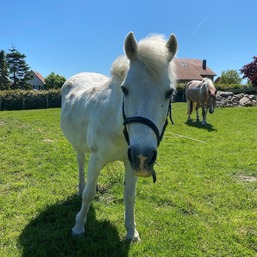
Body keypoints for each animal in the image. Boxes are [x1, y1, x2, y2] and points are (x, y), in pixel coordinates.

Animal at [61, 32, 177, 240]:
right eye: (125, 89)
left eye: (169, 92)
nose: (143, 156)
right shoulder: (96, 158)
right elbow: (88, 194)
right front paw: (78, 226)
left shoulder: (131, 163)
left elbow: (130, 196)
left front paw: (132, 232)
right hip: (79, 148)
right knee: (81, 164)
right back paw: (81, 187)